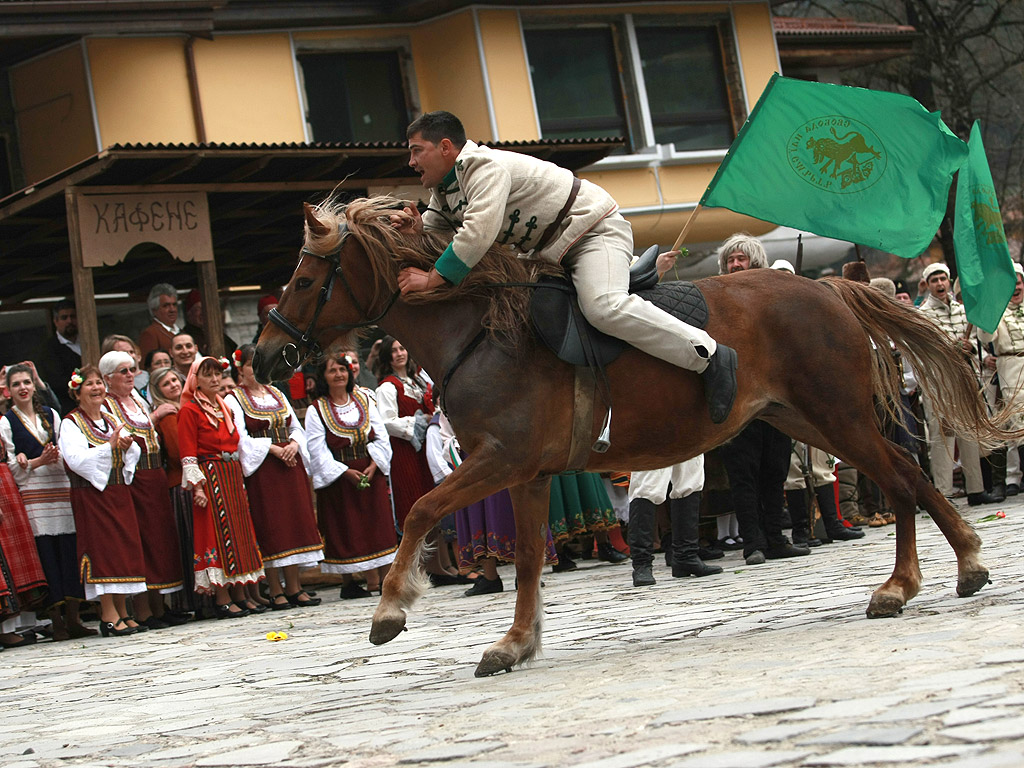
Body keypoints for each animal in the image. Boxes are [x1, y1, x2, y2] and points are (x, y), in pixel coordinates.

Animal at [253, 198, 1015, 679]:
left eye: (305, 278)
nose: (264, 357)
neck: (484, 332)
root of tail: (829, 290)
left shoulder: (501, 461)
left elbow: (419, 510)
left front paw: (391, 609)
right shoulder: (525, 473)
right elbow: (526, 557)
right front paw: (515, 644)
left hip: (838, 418)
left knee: (908, 479)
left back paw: (944, 571)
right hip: (810, 422)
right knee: (900, 479)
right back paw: (917, 579)